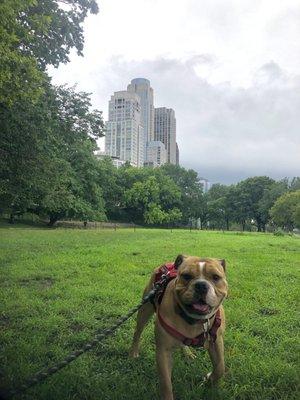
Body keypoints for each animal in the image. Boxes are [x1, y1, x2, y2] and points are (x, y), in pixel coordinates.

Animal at [129, 255, 227, 398]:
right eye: (186, 276)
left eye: (215, 277)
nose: (201, 285)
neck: (194, 320)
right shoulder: (164, 351)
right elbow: (166, 383)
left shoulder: (216, 340)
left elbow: (220, 367)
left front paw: (210, 381)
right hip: (145, 309)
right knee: (138, 332)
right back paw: (133, 352)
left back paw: (188, 353)